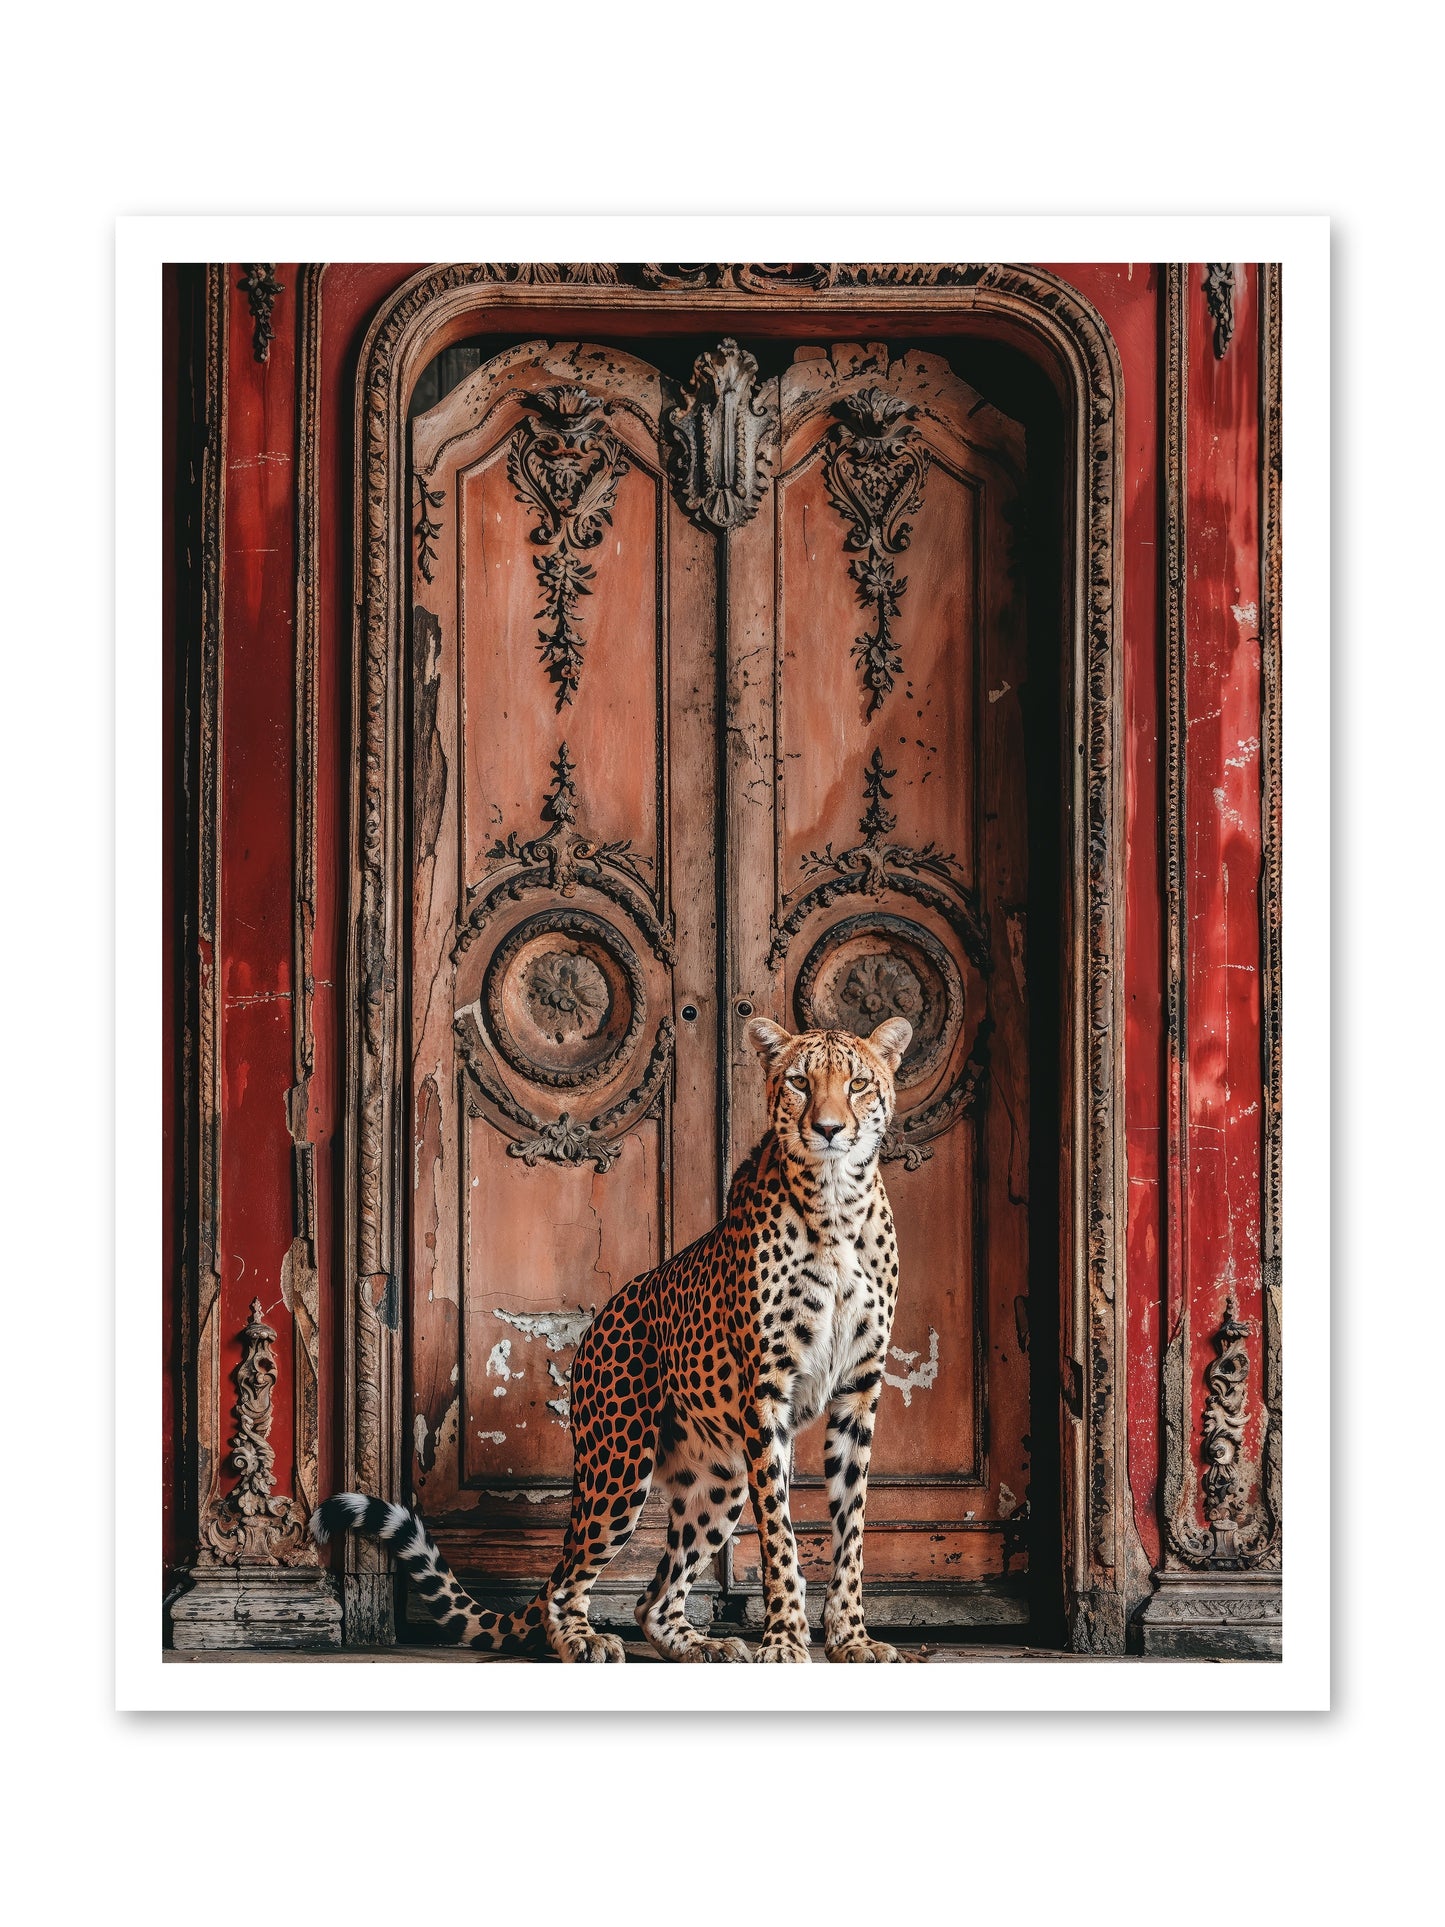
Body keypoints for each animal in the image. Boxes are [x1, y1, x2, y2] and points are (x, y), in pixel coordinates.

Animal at [312, 1014, 913, 1663]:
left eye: (857, 1084)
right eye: (800, 1082)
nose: (828, 1129)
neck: (836, 1205)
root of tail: (599, 1320)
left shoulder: (858, 1391)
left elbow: (851, 1528)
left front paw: (851, 1638)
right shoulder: (767, 1395)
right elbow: (780, 1531)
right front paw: (783, 1640)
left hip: (719, 1480)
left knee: (652, 1600)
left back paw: (704, 1646)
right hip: (620, 1466)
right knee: (566, 1583)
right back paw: (584, 1639)